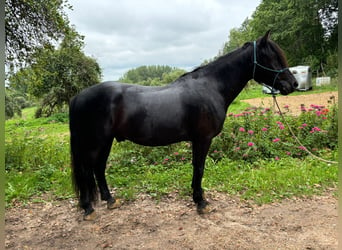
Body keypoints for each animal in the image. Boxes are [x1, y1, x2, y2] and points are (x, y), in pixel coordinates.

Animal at [69, 30, 296, 219]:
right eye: (272, 57)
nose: (293, 84)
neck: (210, 87)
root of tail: (78, 97)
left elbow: (197, 167)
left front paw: (199, 198)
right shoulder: (202, 139)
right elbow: (200, 167)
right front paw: (201, 202)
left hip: (105, 142)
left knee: (98, 168)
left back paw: (110, 200)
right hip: (95, 143)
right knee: (86, 171)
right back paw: (88, 208)